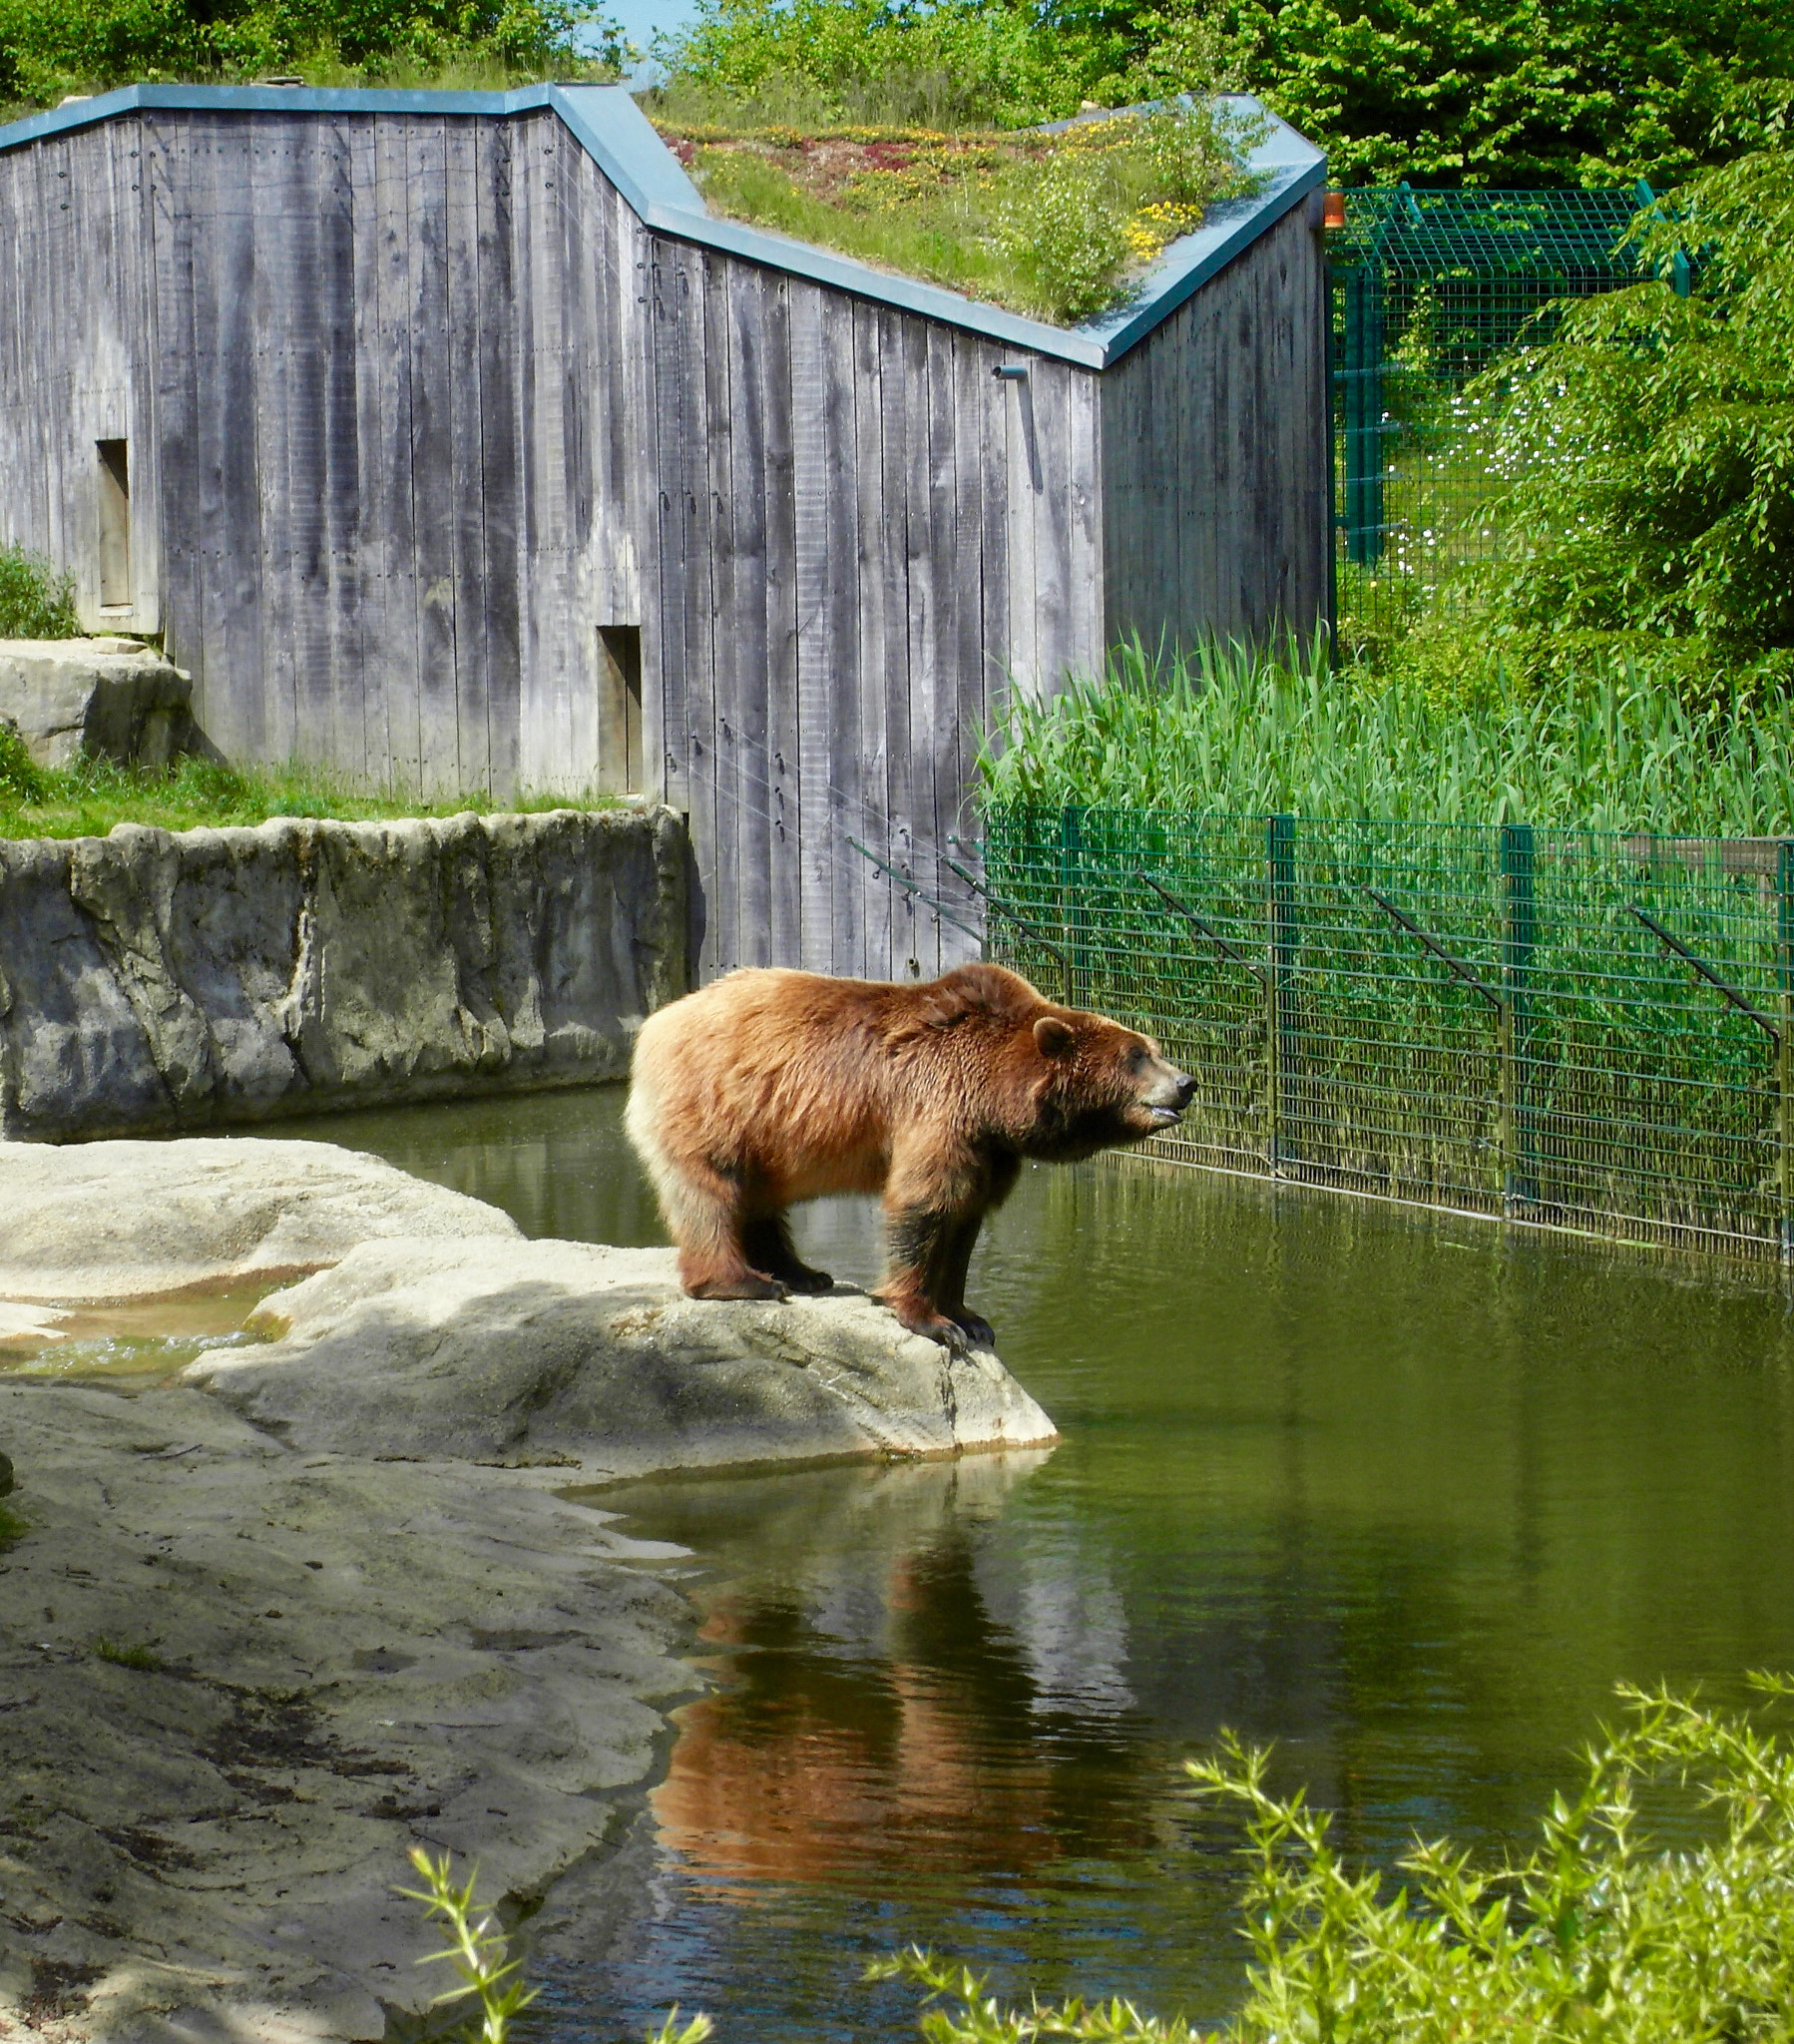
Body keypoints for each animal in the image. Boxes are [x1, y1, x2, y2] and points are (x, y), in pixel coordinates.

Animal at [625, 961, 1194, 1352]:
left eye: (1154, 1047)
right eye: (1136, 1057)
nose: (1187, 1083)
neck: (998, 1096)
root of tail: (659, 1020)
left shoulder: (989, 1149)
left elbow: (965, 1218)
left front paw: (970, 1317)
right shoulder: (939, 1107)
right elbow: (925, 1204)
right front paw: (931, 1321)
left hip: (768, 1129)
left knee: (762, 1199)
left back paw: (802, 1272)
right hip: (717, 1101)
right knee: (710, 1189)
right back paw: (741, 1282)